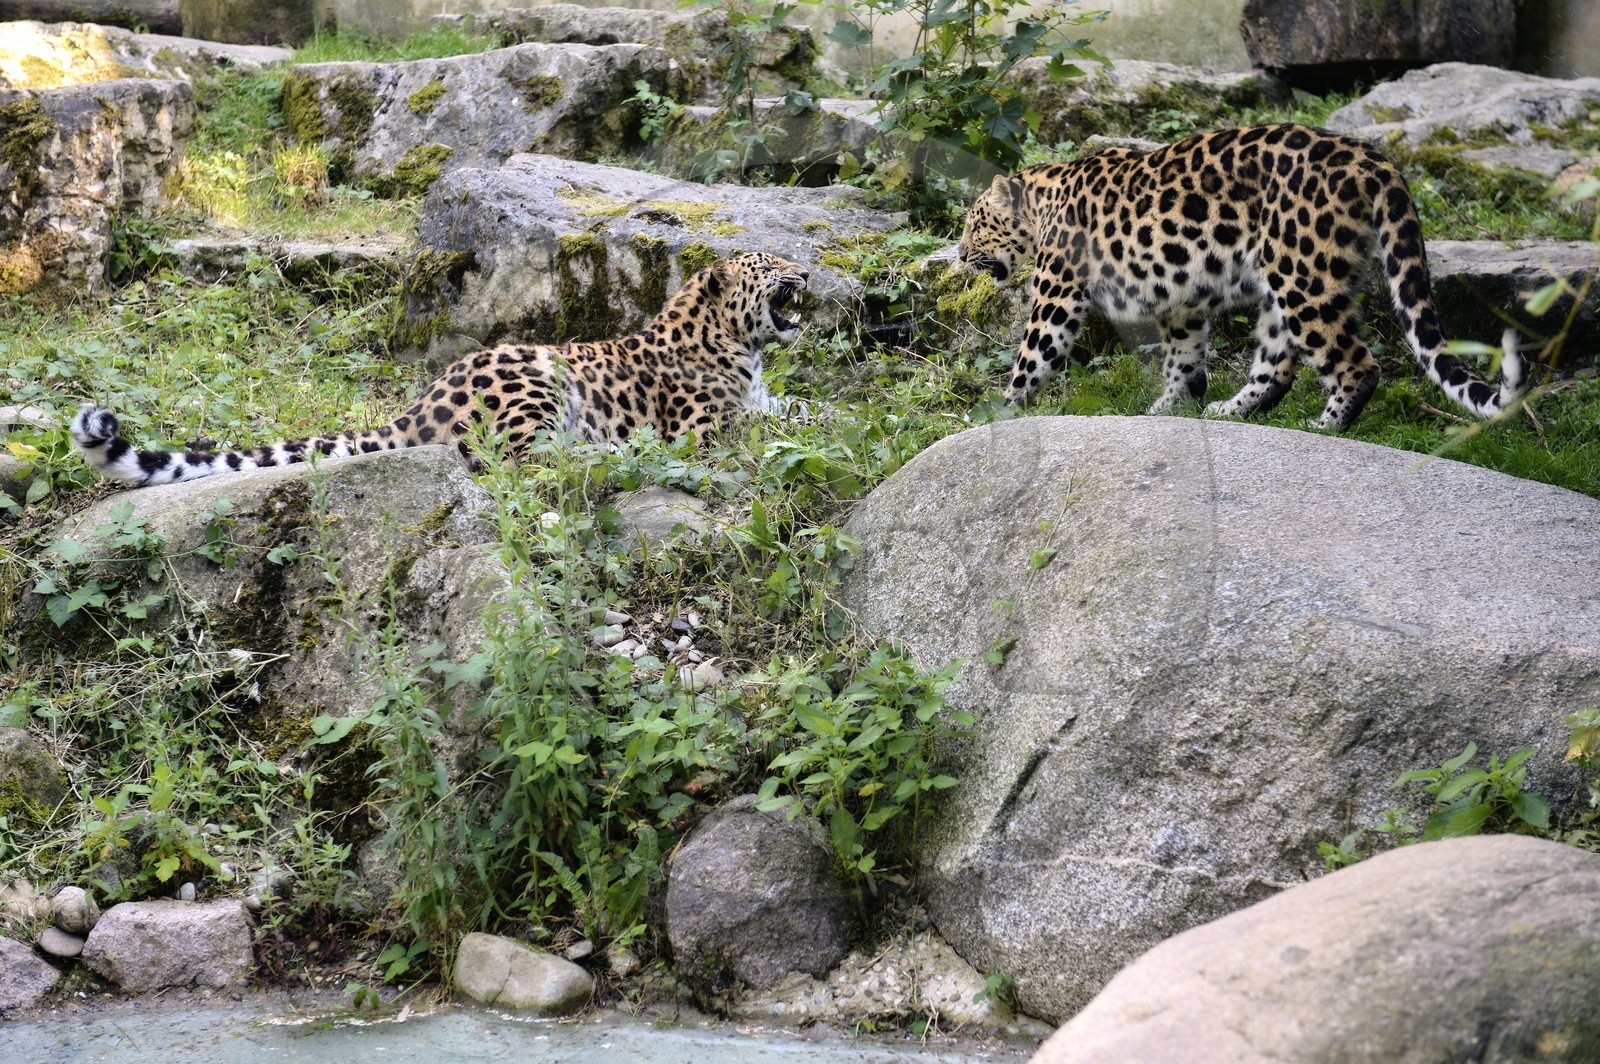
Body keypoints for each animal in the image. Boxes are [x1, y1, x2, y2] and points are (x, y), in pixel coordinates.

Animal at [73, 253, 811, 488]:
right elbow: (750, 429)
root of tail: (417, 406)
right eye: (771, 263)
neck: (738, 345)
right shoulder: (702, 425)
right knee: (516, 460)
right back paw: (610, 457)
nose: (806, 273)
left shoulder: (764, 399)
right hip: (536, 381)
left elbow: (800, 411)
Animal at [957, 123, 1526, 430]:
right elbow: (1185, 362)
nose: (960, 255)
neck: (1043, 200)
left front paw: (998, 412)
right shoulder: (1181, 302)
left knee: (1356, 363)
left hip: (1304, 276)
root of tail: (1373, 159)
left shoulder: (1057, 292)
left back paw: (1327, 425)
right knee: (1276, 366)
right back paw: (1228, 411)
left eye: (974, 222)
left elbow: (1032, 356)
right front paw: (1169, 409)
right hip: (1282, 283)